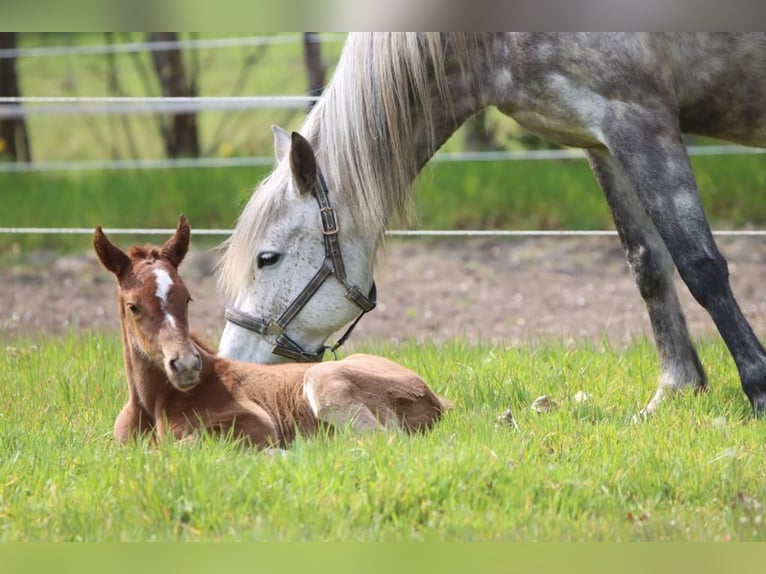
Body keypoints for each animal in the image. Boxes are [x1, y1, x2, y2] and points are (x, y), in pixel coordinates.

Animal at [94, 216, 450, 450]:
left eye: (187, 298)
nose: (185, 366)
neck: (153, 403)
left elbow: (177, 448)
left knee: (382, 441)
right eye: (133, 306)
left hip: (322, 380)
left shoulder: (256, 425)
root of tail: (436, 399)